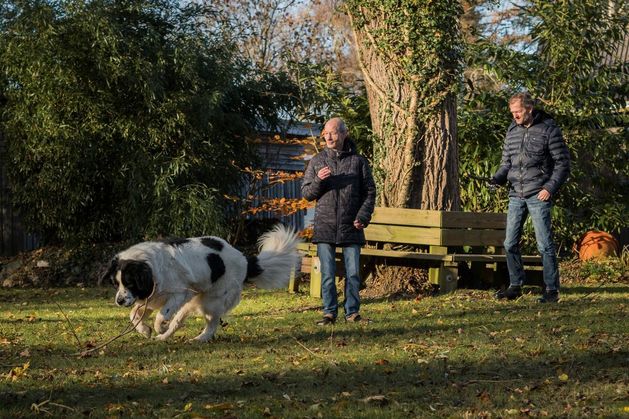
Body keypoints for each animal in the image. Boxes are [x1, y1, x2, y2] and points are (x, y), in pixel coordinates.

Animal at [101, 225, 302, 342]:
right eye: (116, 284)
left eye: (129, 283)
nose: (119, 301)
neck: (151, 267)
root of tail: (244, 258)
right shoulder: (152, 298)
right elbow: (134, 315)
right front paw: (145, 330)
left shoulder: (179, 294)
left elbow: (161, 314)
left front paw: (158, 326)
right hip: (194, 301)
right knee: (178, 322)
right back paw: (164, 337)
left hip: (210, 301)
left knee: (212, 323)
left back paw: (200, 338)